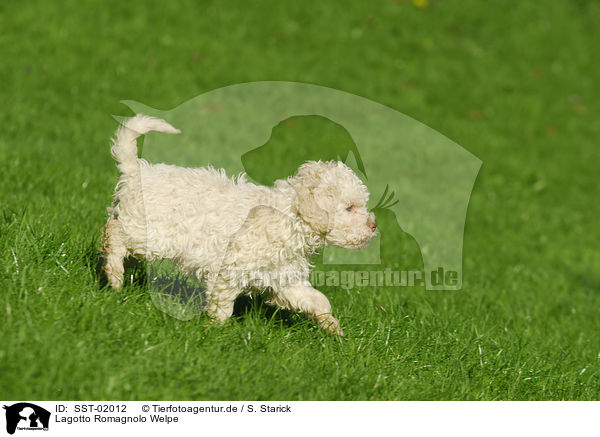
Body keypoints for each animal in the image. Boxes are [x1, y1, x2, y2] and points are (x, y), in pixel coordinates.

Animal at [102, 114, 376, 332]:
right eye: (349, 207)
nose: (373, 226)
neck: (290, 216)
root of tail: (135, 171)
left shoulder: (284, 278)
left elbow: (317, 299)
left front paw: (332, 327)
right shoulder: (229, 269)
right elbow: (223, 304)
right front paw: (214, 330)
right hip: (149, 232)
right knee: (113, 233)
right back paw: (114, 275)